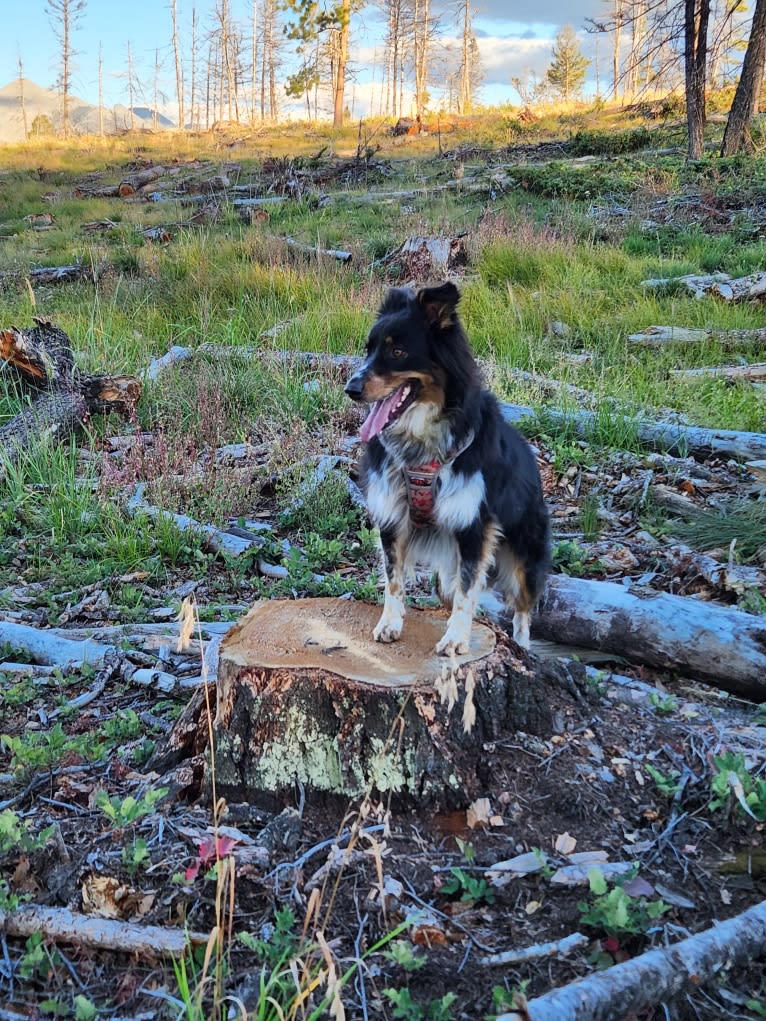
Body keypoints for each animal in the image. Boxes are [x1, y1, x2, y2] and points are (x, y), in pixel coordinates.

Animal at [345, 283, 547, 657]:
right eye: (369, 349)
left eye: (397, 351)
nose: (351, 389)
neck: (419, 442)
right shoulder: (392, 517)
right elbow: (393, 579)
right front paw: (390, 624)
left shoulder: (473, 525)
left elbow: (469, 591)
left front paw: (455, 639)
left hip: (526, 550)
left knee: (523, 605)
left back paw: (521, 647)